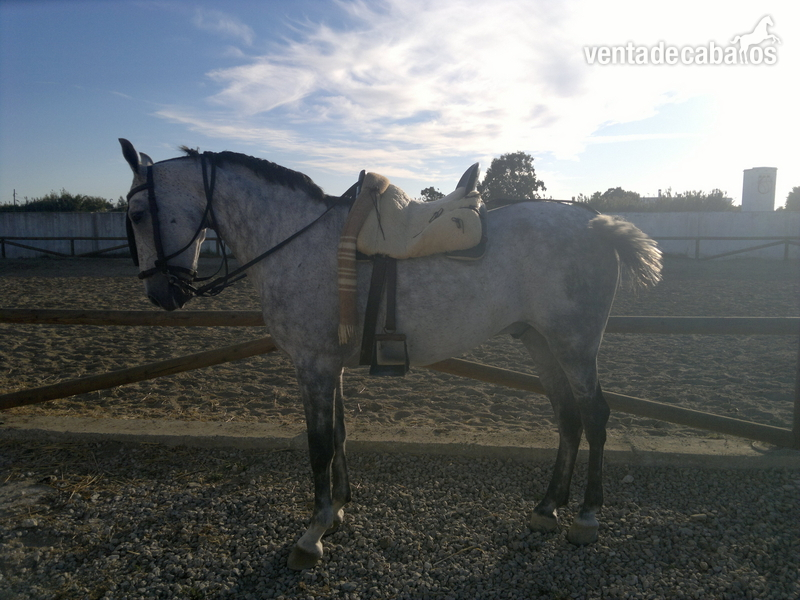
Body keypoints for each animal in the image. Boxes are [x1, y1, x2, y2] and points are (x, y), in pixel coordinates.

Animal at [119, 138, 662, 570]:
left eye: (138, 214)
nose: (159, 295)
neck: (296, 240)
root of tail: (596, 223)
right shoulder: (329, 367)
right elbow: (339, 435)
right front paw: (338, 511)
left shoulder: (313, 367)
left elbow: (318, 445)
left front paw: (312, 535)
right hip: (540, 342)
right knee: (568, 418)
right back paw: (547, 509)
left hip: (574, 346)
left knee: (594, 416)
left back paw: (587, 518)